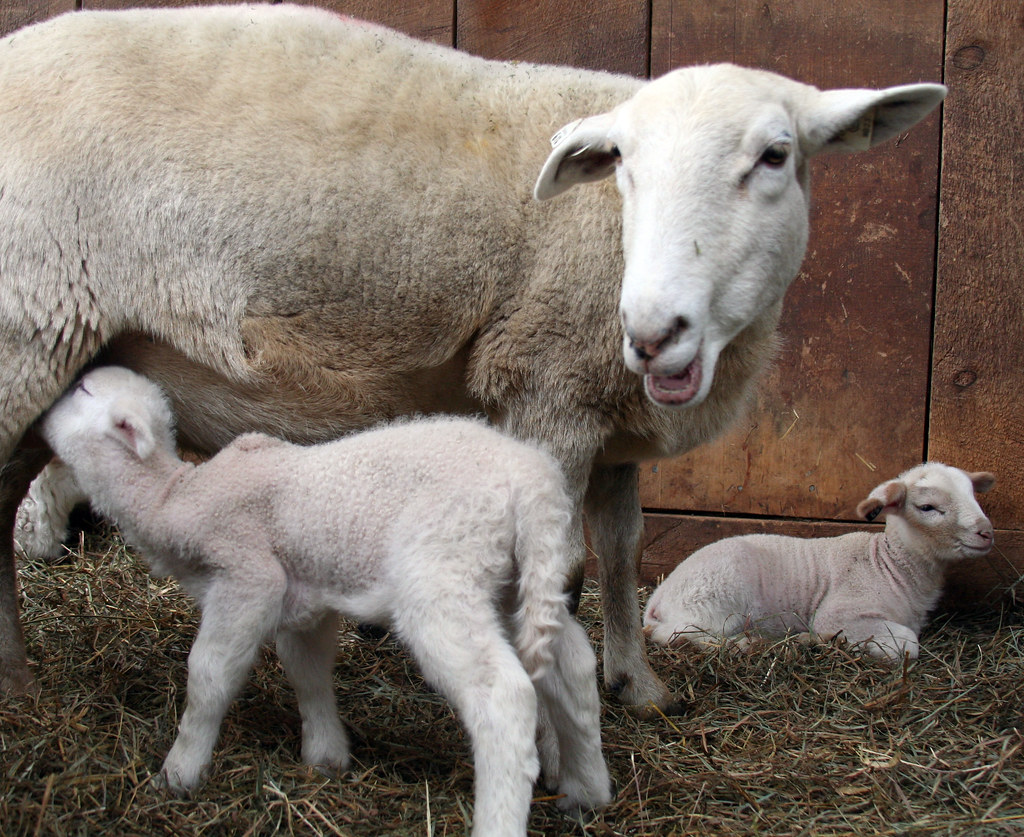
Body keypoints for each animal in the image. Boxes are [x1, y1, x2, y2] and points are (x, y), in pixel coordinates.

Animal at [0, 4, 947, 707]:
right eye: (624, 166)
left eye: (776, 155)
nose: (650, 328)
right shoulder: (549, 389)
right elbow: (558, 565)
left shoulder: (604, 412)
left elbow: (622, 549)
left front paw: (637, 685)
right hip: (25, 327)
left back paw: (16, 676)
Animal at [39, 366, 612, 834]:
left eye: (84, 390)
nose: (44, 406)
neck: (173, 496)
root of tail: (535, 483)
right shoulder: (303, 595)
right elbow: (307, 672)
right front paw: (325, 757)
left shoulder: (248, 575)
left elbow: (209, 674)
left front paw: (180, 772)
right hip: (518, 578)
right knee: (573, 666)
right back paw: (588, 791)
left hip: (443, 570)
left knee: (504, 696)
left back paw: (502, 820)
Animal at [643, 463, 996, 661]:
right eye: (927, 507)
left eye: (974, 496)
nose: (987, 533)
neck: (890, 565)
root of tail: (658, 598)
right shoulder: (842, 611)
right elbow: (908, 645)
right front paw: (851, 646)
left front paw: (816, 641)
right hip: (713, 606)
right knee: (675, 637)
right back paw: (747, 645)